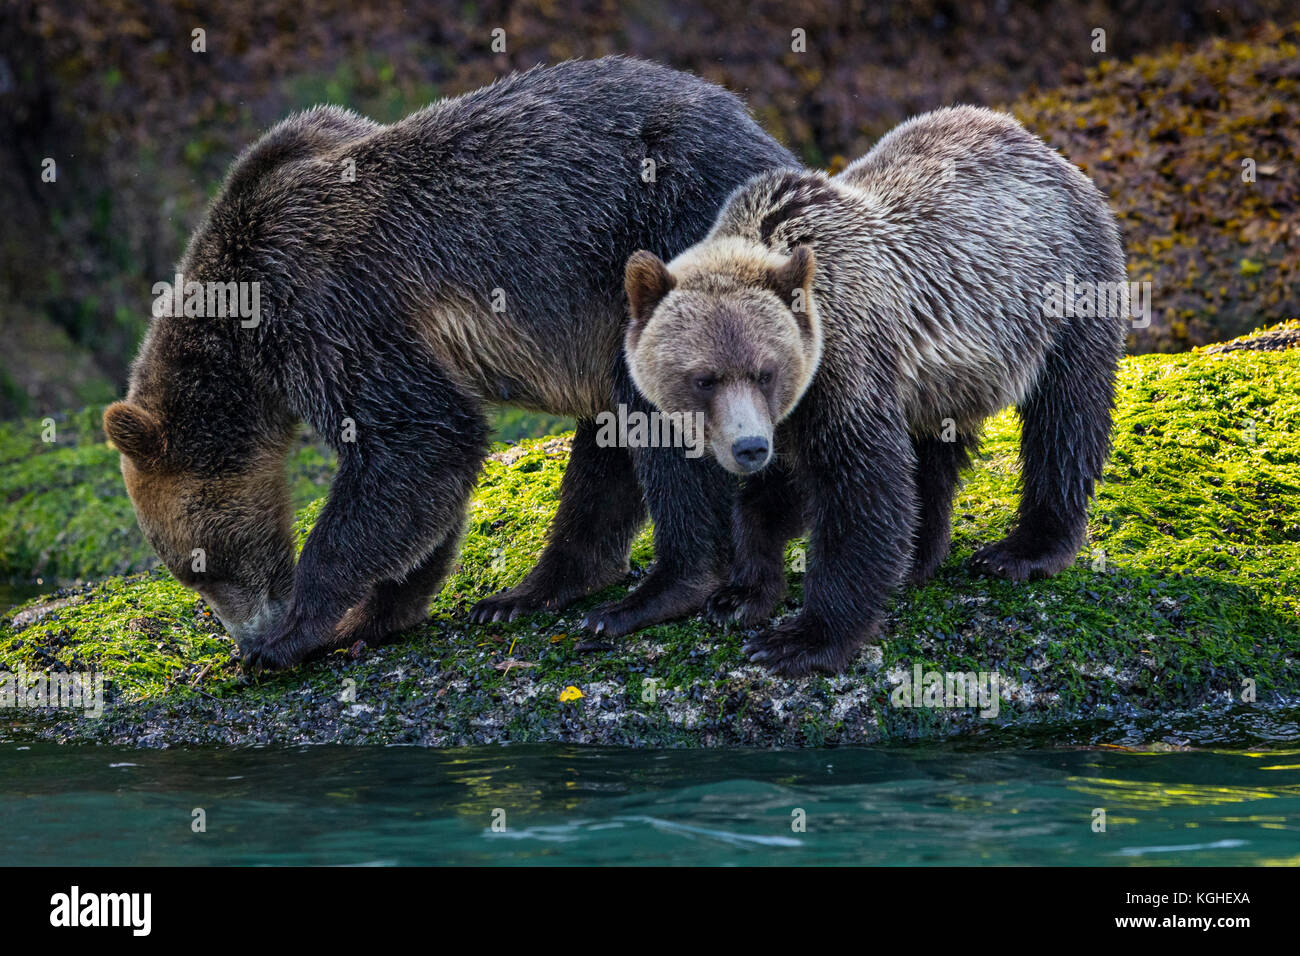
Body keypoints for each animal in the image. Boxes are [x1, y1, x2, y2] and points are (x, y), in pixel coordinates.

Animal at [104, 55, 790, 671]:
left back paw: (658, 591)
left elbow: (416, 437)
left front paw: (295, 633)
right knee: (612, 426)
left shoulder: (322, 305)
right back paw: (528, 592)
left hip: (672, 230)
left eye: (201, 568)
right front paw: (379, 612)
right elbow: (428, 473)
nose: (244, 637)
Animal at [621, 106, 1128, 671]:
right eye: (704, 379)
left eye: (765, 371)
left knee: (1065, 419)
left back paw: (1023, 549)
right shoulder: (804, 405)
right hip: (944, 380)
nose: (749, 448)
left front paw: (803, 638)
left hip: (1066, 297)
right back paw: (920, 556)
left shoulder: (846, 365)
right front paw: (740, 595)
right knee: (934, 453)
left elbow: (860, 492)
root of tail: (1040, 146)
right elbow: (778, 497)